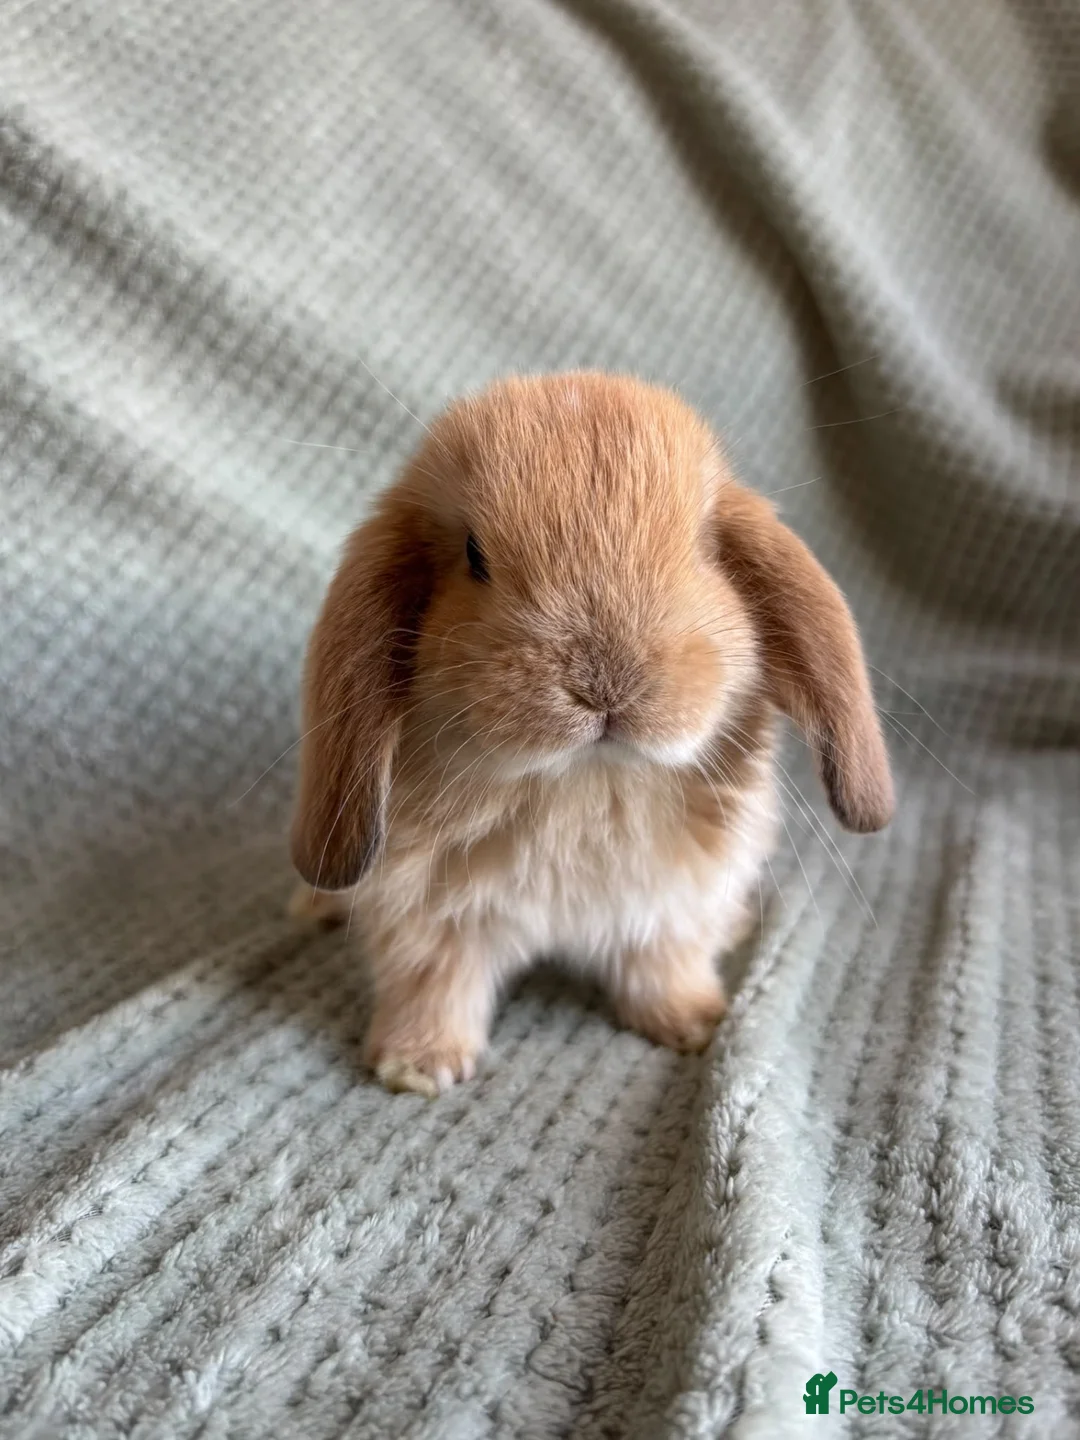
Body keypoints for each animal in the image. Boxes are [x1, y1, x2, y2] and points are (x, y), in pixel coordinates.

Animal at [289, 371, 894, 1097]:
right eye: (474, 556)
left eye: (704, 550)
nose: (605, 681)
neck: (583, 783)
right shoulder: (424, 917)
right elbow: (434, 985)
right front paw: (417, 1067)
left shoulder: (673, 906)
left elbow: (664, 967)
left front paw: (693, 1024)